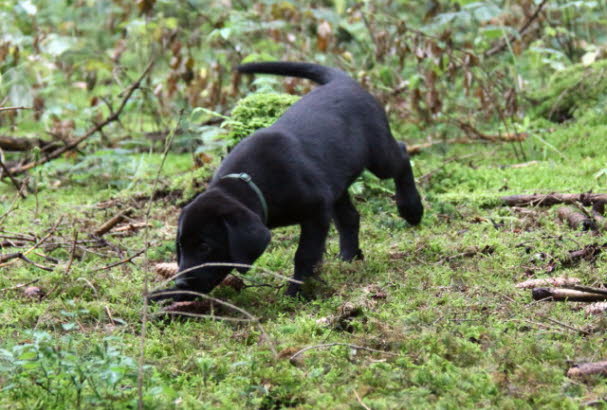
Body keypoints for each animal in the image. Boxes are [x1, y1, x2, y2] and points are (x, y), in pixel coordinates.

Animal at [149, 62, 422, 302]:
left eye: (205, 246)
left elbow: (305, 254)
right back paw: (348, 257)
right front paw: (168, 296)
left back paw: (411, 208)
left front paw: (295, 292)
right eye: (180, 246)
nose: (181, 283)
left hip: (378, 155)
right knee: (349, 217)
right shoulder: (322, 200)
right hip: (335, 182)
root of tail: (343, 81)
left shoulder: (316, 211)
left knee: (402, 155)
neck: (254, 185)